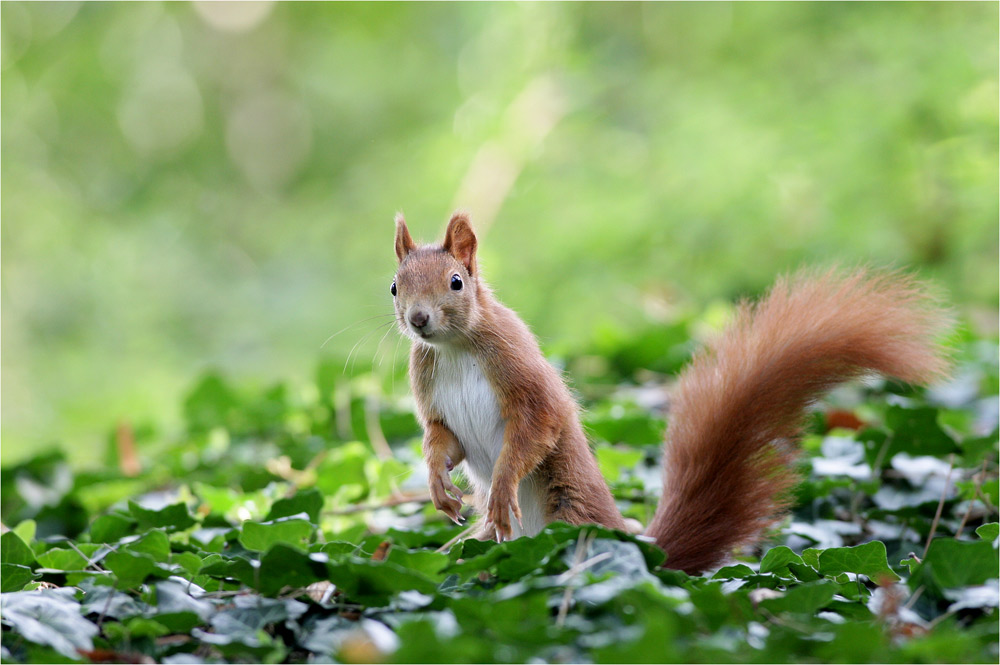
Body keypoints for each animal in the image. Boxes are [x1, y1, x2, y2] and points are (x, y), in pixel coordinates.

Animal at [386, 211, 948, 572]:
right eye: (395, 286)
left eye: (456, 282)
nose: (418, 319)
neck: (455, 347)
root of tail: (646, 554)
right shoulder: (432, 395)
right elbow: (442, 440)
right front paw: (438, 485)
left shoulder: (522, 376)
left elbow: (535, 429)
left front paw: (501, 488)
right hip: (478, 548)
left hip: (572, 526)